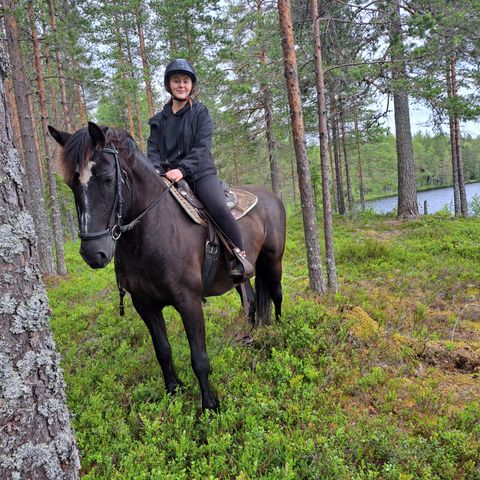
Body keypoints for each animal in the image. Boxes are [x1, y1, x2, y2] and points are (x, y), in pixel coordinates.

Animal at [48, 122, 284, 410]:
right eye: (71, 184)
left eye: (107, 178)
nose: (93, 254)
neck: (152, 232)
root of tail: (272, 195)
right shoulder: (144, 304)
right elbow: (162, 350)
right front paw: (173, 390)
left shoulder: (189, 301)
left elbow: (199, 358)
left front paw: (210, 405)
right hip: (241, 276)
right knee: (250, 301)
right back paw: (248, 336)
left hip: (273, 261)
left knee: (276, 294)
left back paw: (280, 333)